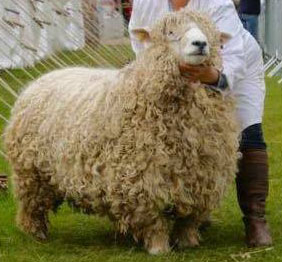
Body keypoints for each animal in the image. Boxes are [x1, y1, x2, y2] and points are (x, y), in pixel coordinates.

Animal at [4, 10, 238, 254]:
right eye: (170, 32)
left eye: (213, 37)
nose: (200, 44)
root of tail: (37, 82)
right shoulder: (142, 181)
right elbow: (153, 221)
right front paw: (159, 248)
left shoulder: (202, 179)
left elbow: (189, 219)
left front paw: (188, 241)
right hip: (31, 172)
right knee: (31, 207)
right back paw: (35, 234)